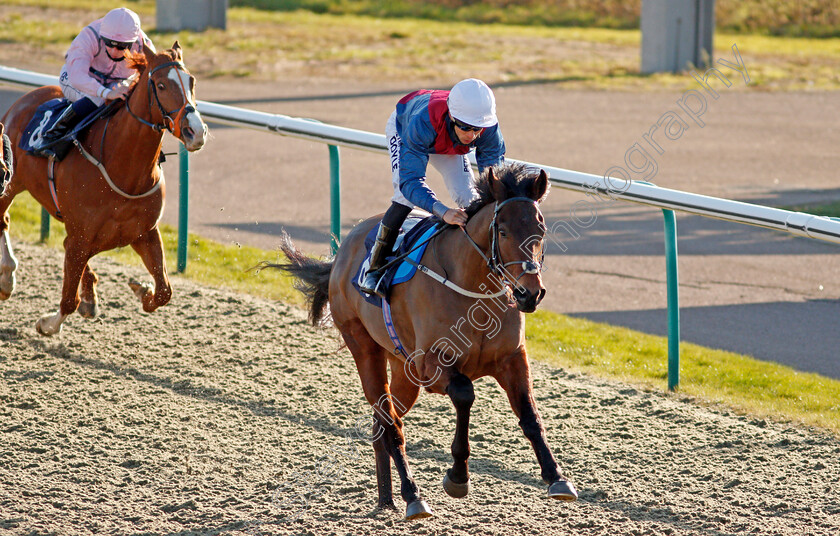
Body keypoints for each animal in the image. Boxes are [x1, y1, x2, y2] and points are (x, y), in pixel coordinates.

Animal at [0, 42, 208, 336]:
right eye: (160, 85)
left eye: (192, 82)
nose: (196, 132)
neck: (124, 170)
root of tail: (25, 99)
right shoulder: (81, 236)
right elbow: (68, 300)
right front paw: (48, 324)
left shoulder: (144, 233)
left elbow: (164, 292)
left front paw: (141, 288)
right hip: (10, 182)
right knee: (3, 219)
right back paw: (7, 277)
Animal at [270, 162, 576, 520]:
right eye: (502, 232)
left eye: (541, 230)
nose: (530, 293)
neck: (471, 287)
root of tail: (342, 253)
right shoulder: (432, 365)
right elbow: (464, 394)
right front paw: (457, 476)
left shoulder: (512, 358)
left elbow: (530, 415)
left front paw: (556, 477)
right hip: (365, 348)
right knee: (390, 423)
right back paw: (411, 495)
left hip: (403, 370)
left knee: (382, 422)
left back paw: (386, 498)